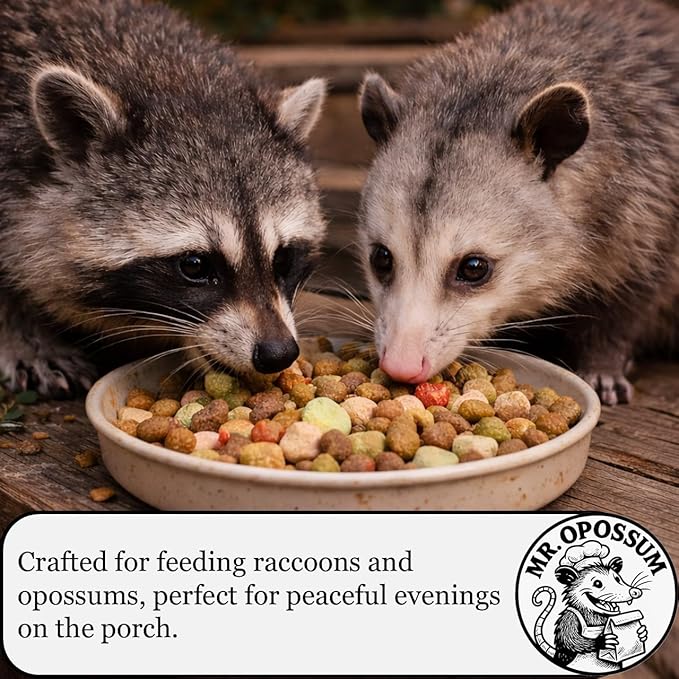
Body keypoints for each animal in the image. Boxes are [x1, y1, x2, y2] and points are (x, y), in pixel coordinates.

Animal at [357, 0, 679, 405]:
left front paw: (604, 368)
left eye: (474, 268)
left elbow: (628, 304)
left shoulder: (651, 213)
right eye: (381, 258)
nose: (400, 364)